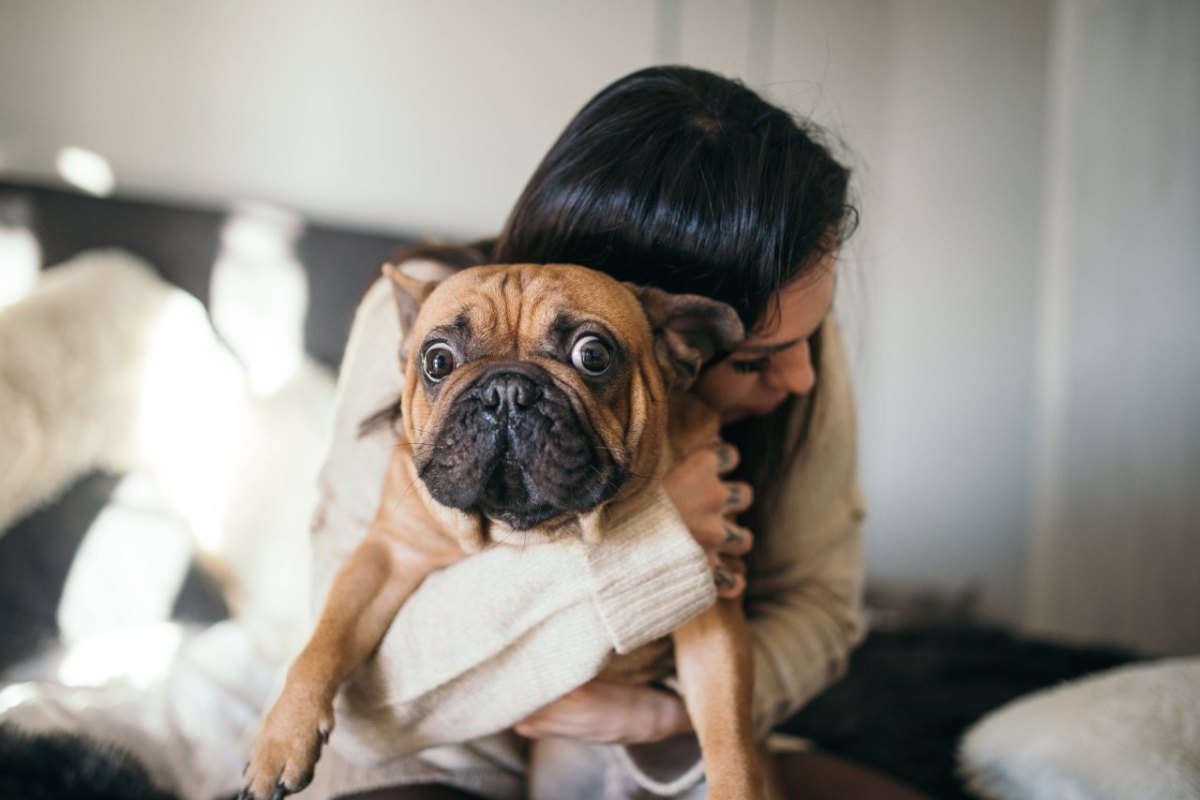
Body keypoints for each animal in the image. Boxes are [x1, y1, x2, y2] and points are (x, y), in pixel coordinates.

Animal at [242, 263, 763, 800]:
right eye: (437, 360)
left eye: (593, 355)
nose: (507, 392)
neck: (523, 531)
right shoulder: (386, 556)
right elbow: (325, 639)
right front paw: (281, 739)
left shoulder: (709, 608)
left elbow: (728, 731)